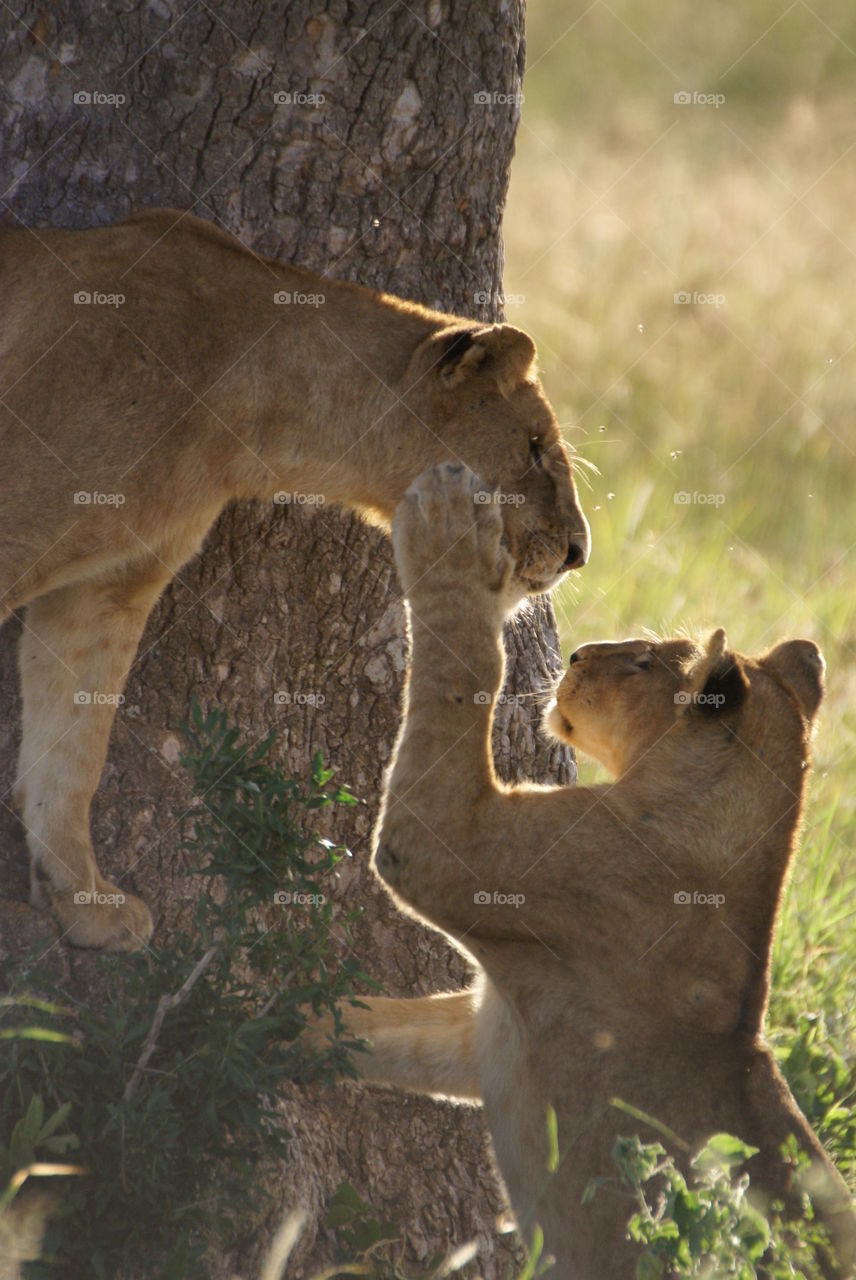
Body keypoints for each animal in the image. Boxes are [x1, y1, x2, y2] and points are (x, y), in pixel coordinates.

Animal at [312, 463, 856, 1278]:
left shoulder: (452, 848)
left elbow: (466, 664)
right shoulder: (486, 1031)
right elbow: (373, 1028)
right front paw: (237, 1020)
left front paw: (449, 531)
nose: (574, 654)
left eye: (643, 661)